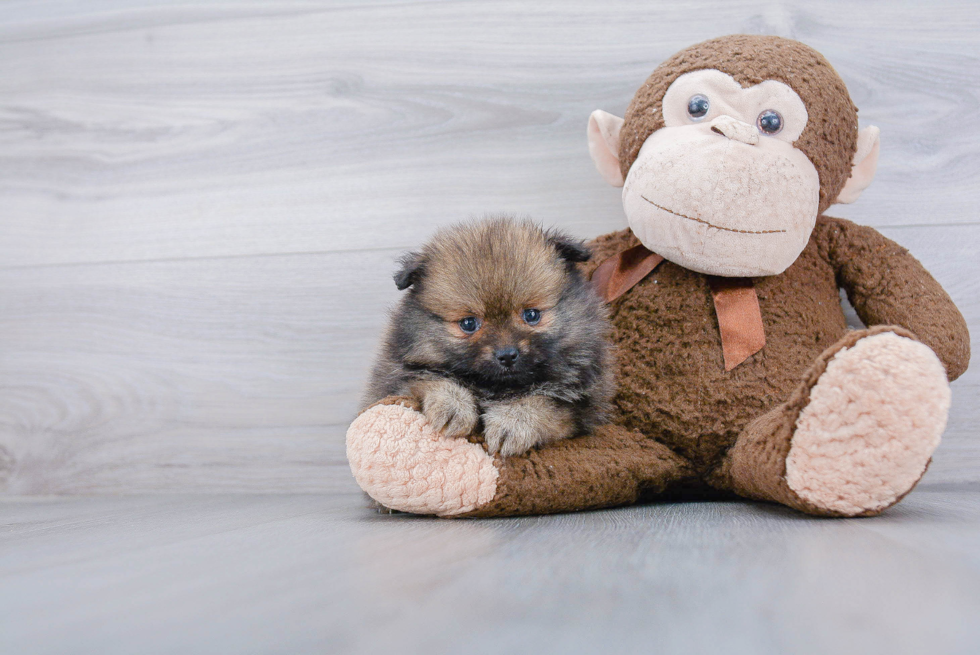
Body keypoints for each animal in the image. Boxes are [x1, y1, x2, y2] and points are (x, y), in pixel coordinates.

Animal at [364, 215, 612, 456]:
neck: (495, 388)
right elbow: (428, 378)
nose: (507, 355)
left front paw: (512, 423)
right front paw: (453, 405)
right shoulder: (392, 382)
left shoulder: (580, 406)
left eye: (531, 315)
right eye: (468, 323)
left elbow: (543, 403)